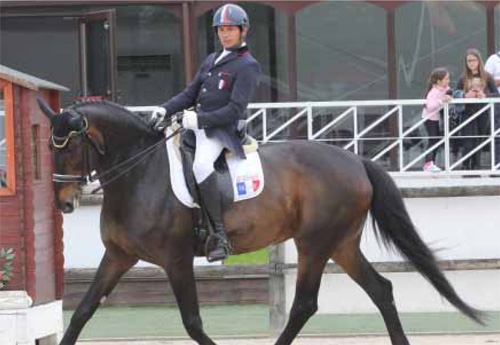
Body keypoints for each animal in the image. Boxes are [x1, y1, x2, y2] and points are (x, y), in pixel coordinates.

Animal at [37, 97, 482, 344]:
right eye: (48, 148)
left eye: (69, 148)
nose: (63, 204)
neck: (140, 172)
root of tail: (356, 160)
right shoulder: (118, 256)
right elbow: (82, 311)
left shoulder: (176, 260)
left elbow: (193, 322)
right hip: (342, 244)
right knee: (381, 290)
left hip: (315, 243)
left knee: (304, 304)